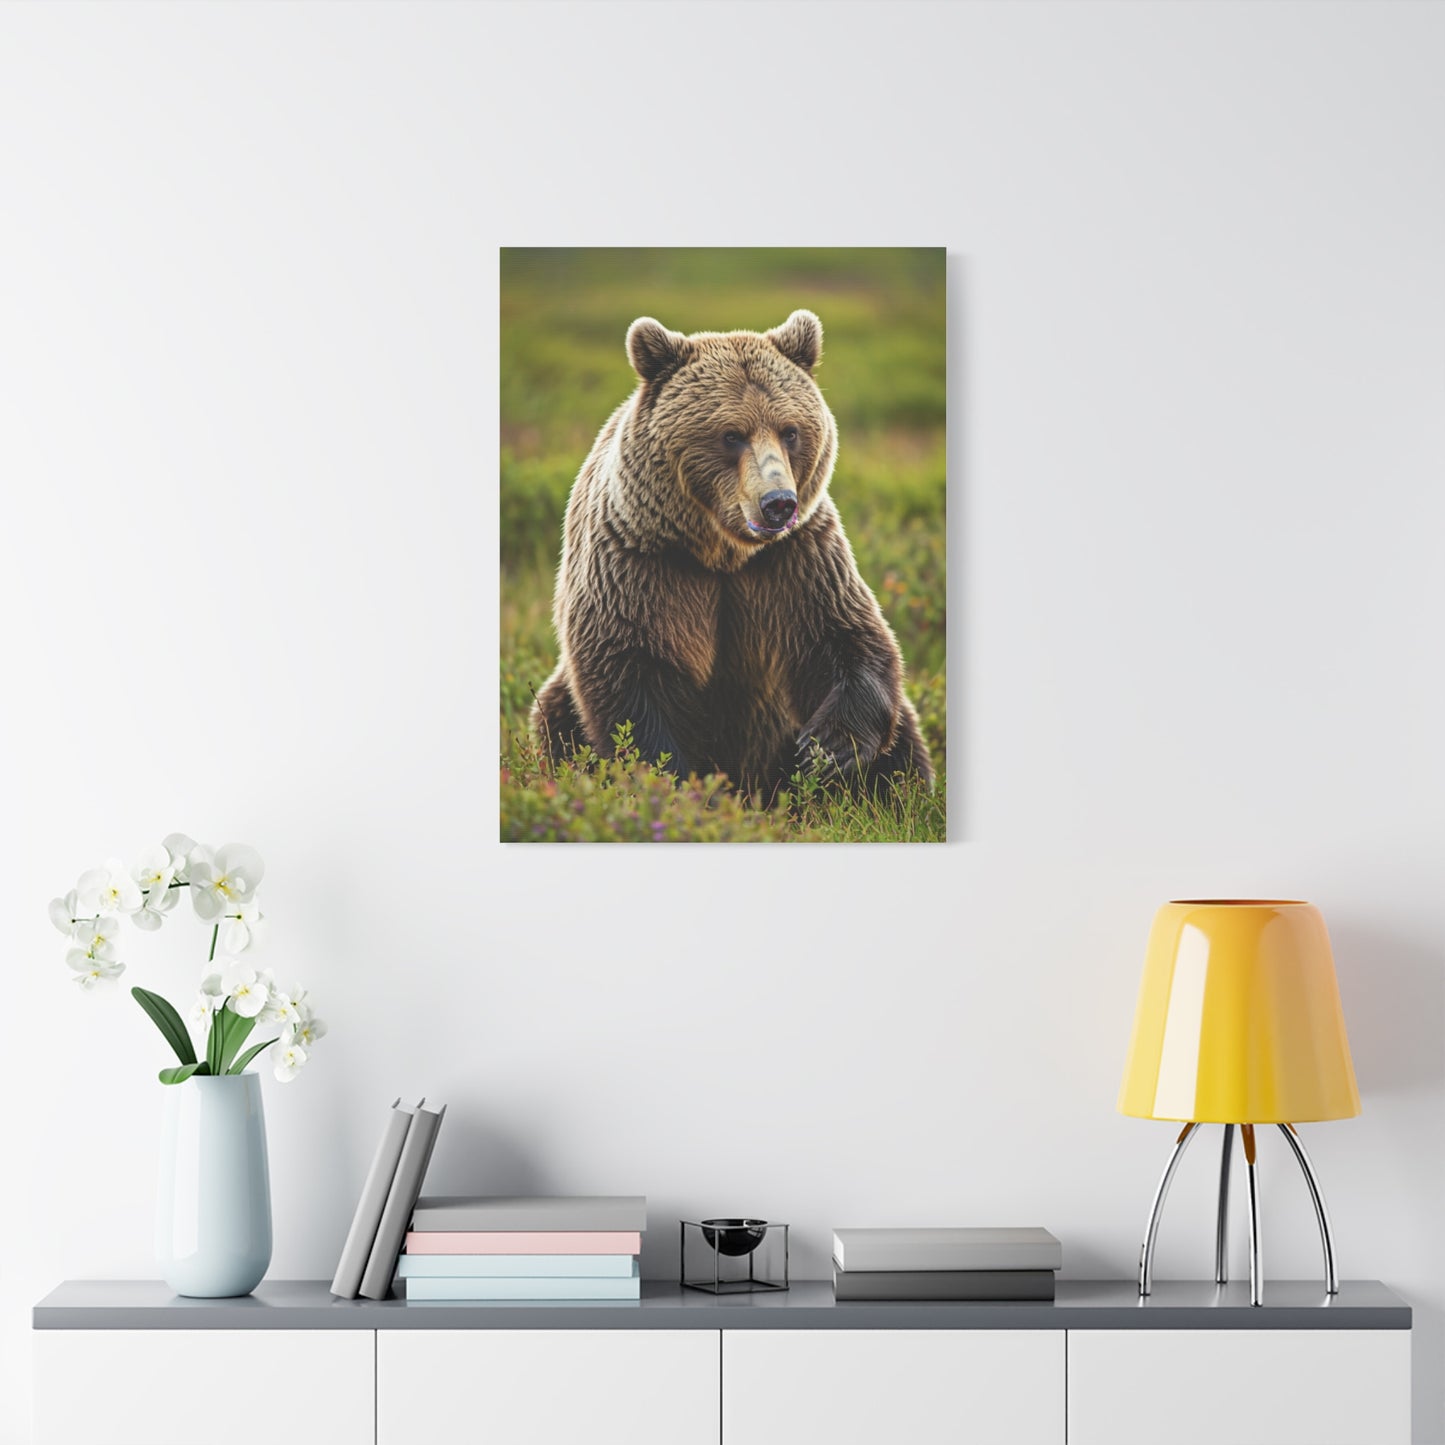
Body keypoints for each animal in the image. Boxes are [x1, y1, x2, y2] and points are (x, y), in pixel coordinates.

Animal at [531, 308, 933, 802]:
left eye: (790, 430)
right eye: (730, 435)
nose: (778, 502)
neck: (723, 553)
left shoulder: (798, 561)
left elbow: (848, 635)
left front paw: (827, 748)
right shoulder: (640, 565)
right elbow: (630, 674)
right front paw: (674, 783)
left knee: (905, 736)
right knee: (555, 716)